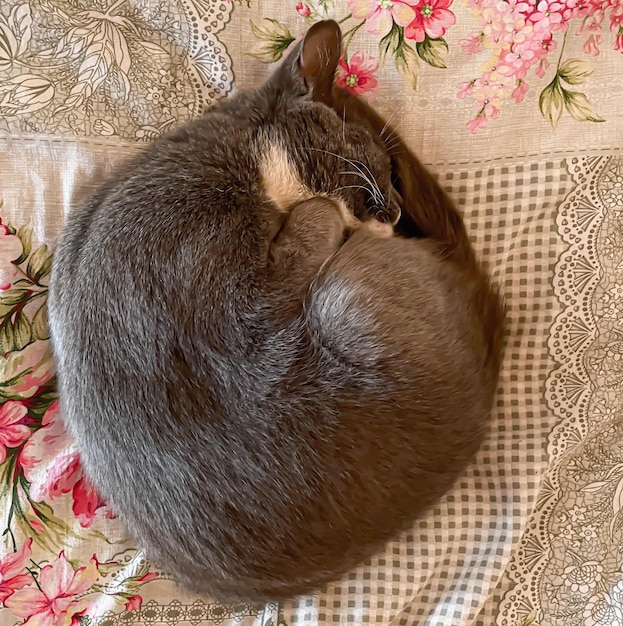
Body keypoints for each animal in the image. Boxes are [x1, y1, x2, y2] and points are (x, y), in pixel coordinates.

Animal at [47, 22, 508, 604]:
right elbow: (316, 215)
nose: (399, 211)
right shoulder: (230, 278)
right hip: (345, 300)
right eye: (383, 172)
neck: (247, 164)